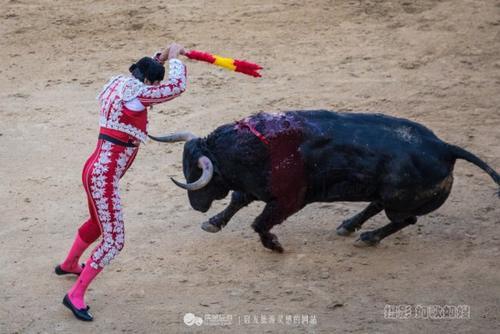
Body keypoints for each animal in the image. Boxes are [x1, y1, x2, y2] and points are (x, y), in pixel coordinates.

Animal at [149, 111, 500, 252]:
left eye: (197, 175)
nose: (197, 207)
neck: (250, 147)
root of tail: (444, 147)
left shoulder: (288, 200)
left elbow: (259, 223)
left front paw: (275, 246)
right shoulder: (255, 187)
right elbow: (238, 200)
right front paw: (213, 222)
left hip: (399, 202)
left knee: (405, 219)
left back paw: (368, 237)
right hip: (387, 194)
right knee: (378, 206)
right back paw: (349, 226)